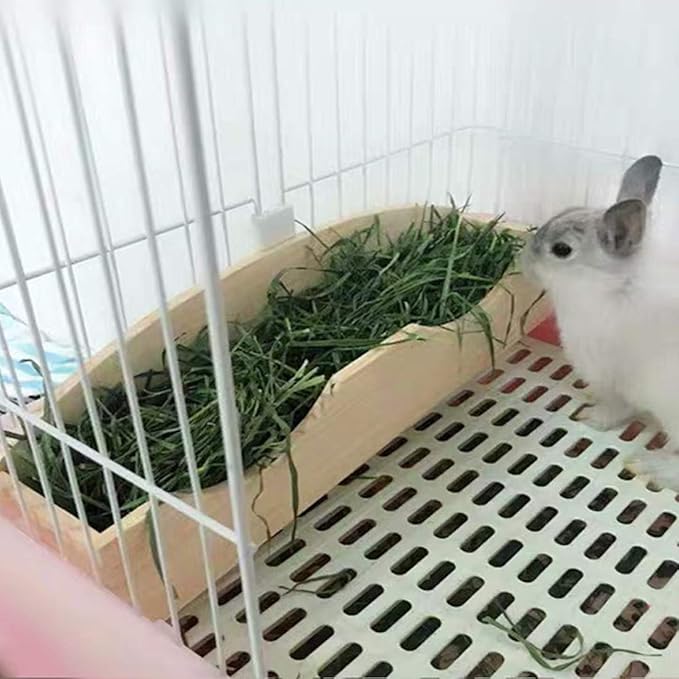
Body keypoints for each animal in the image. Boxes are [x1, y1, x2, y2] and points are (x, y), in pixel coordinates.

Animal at [521, 154, 679, 491]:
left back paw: (648, 466)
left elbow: (614, 409)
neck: (612, 286)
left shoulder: (610, 379)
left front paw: (589, 416)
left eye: (562, 250)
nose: (523, 261)